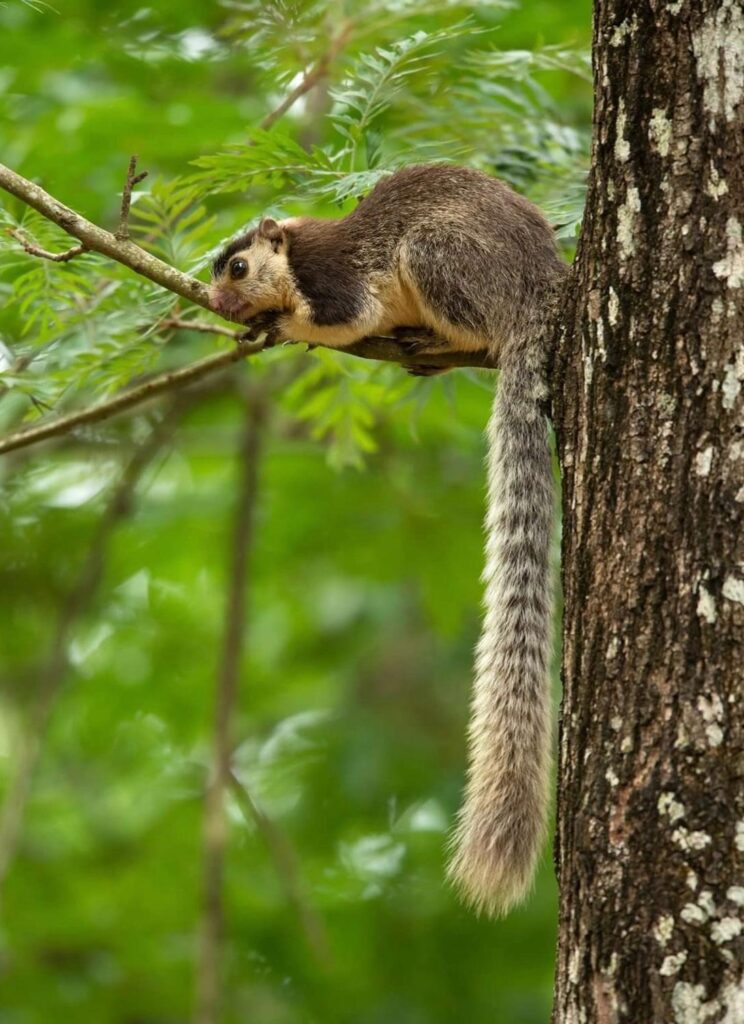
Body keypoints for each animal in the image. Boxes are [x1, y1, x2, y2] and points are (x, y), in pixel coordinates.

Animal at [209, 163, 564, 917]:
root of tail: (540, 288)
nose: (220, 301)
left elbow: (341, 319)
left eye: (239, 266)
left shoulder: (336, 279)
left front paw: (276, 323)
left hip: (438, 259)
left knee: (478, 329)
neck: (294, 253)